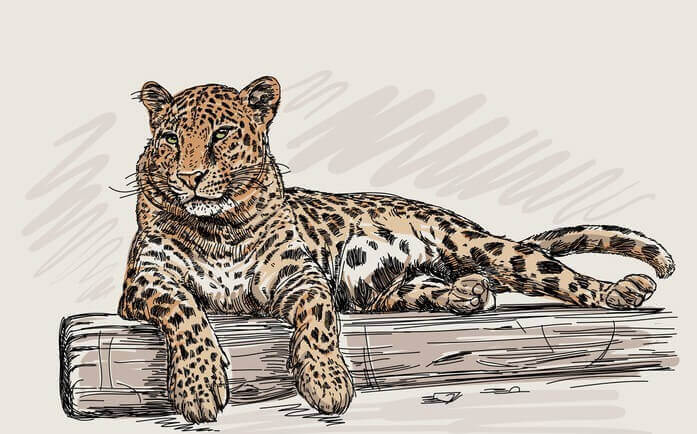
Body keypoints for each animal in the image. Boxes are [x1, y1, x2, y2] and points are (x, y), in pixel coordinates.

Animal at [118, 76, 675, 423]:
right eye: (169, 138)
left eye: (222, 134)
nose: (189, 176)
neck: (220, 228)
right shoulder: (145, 282)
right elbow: (186, 311)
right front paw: (198, 387)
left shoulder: (301, 276)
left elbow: (317, 320)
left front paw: (325, 382)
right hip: (383, 290)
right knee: (432, 289)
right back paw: (467, 293)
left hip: (477, 244)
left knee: (555, 273)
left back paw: (621, 291)